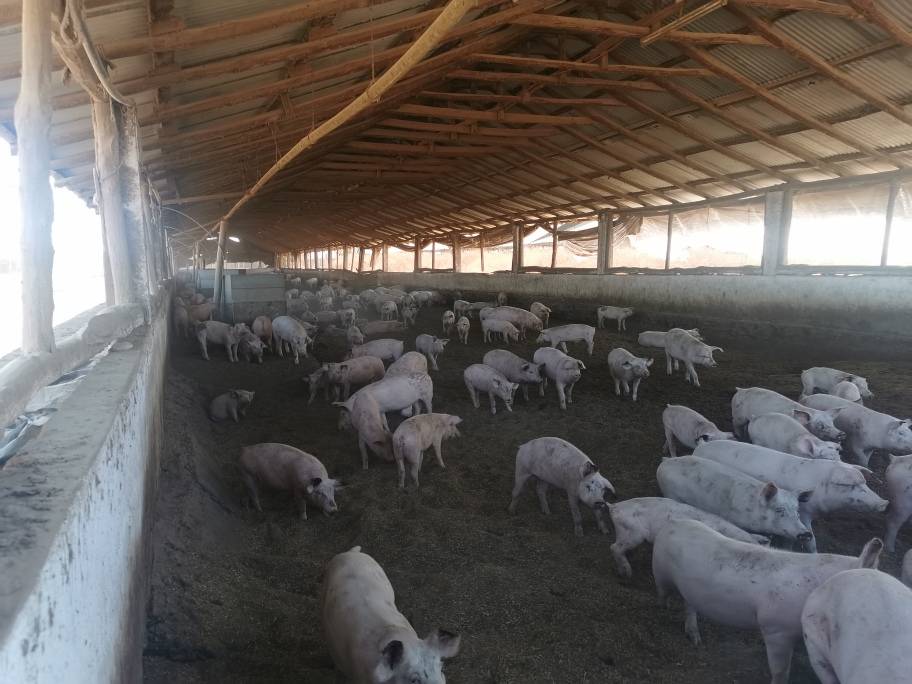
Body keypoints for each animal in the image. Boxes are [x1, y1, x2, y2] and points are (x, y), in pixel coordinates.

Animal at [652, 519, 882, 684]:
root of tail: (671, 524)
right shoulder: (775, 629)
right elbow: (780, 671)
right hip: (659, 570)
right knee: (663, 591)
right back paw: (664, 608)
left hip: (688, 588)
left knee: (689, 604)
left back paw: (695, 639)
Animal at [694, 440, 887, 552]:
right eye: (852, 486)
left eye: (864, 484)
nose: (884, 503)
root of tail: (700, 447)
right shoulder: (804, 512)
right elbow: (810, 540)